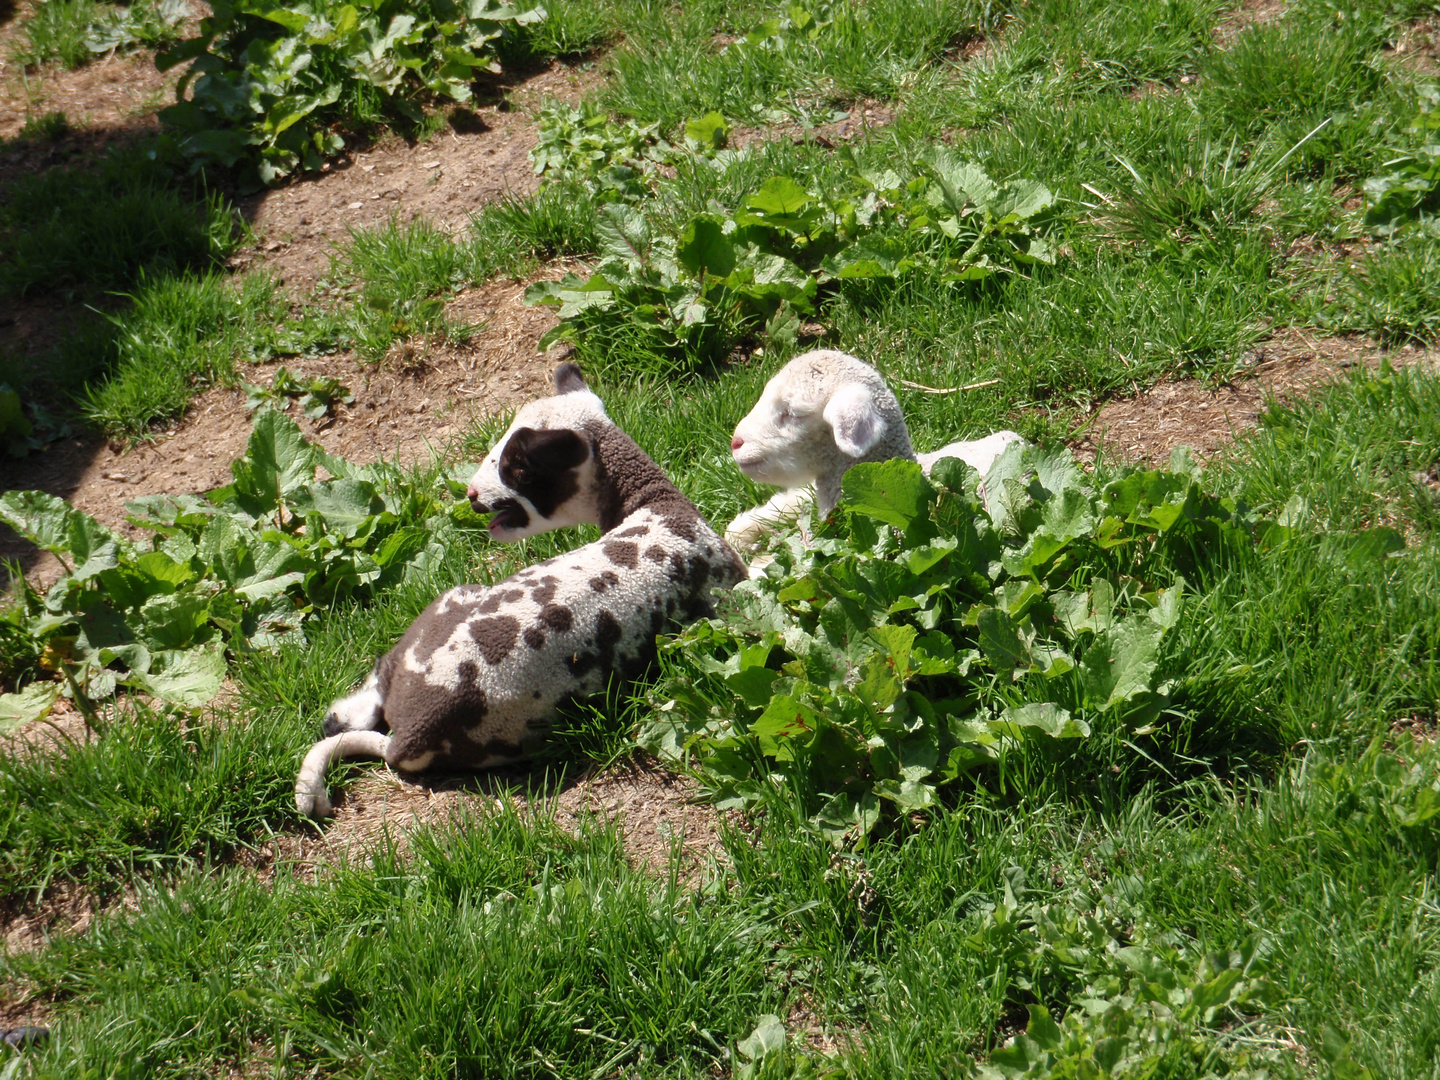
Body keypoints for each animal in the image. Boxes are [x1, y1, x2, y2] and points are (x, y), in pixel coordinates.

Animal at [292, 364, 743, 817]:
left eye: (518, 467)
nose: (471, 495)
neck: (656, 505)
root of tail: (407, 738)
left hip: (447, 605)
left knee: (381, 675)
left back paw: (336, 722)